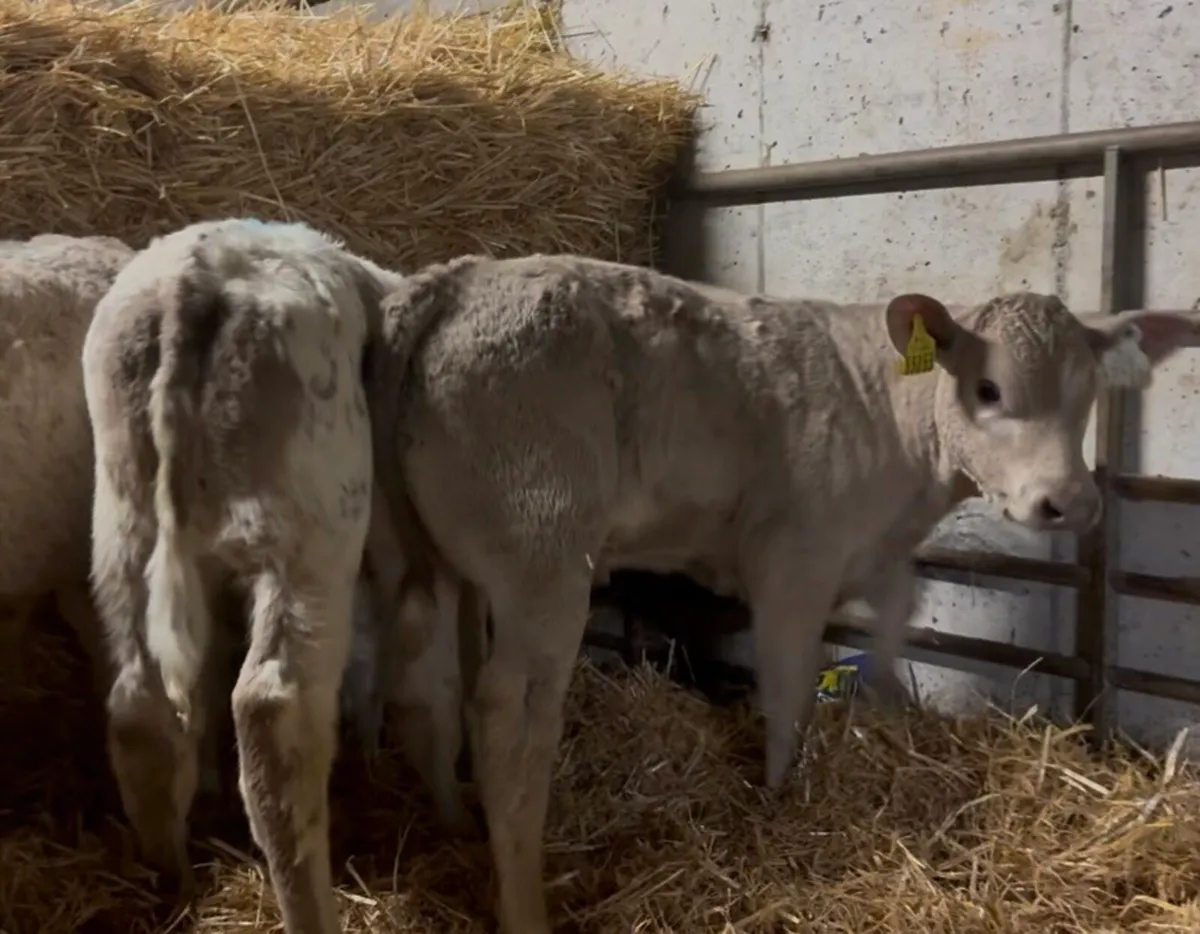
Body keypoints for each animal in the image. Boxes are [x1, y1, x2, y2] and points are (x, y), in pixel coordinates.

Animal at [81, 217, 468, 934]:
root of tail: (196, 275)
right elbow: (428, 687)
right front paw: (455, 816)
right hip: (308, 534)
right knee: (273, 713)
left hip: (123, 525)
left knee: (142, 707)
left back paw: (174, 884)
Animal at [364, 252, 1200, 934]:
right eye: (988, 389)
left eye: (1088, 396)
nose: (1069, 504)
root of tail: (457, 280)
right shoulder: (795, 559)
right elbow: (788, 686)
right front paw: (781, 795)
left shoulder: (881, 555)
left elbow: (891, 636)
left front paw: (888, 715)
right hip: (542, 559)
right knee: (509, 724)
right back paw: (525, 907)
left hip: (422, 558)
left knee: (425, 691)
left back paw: (454, 828)